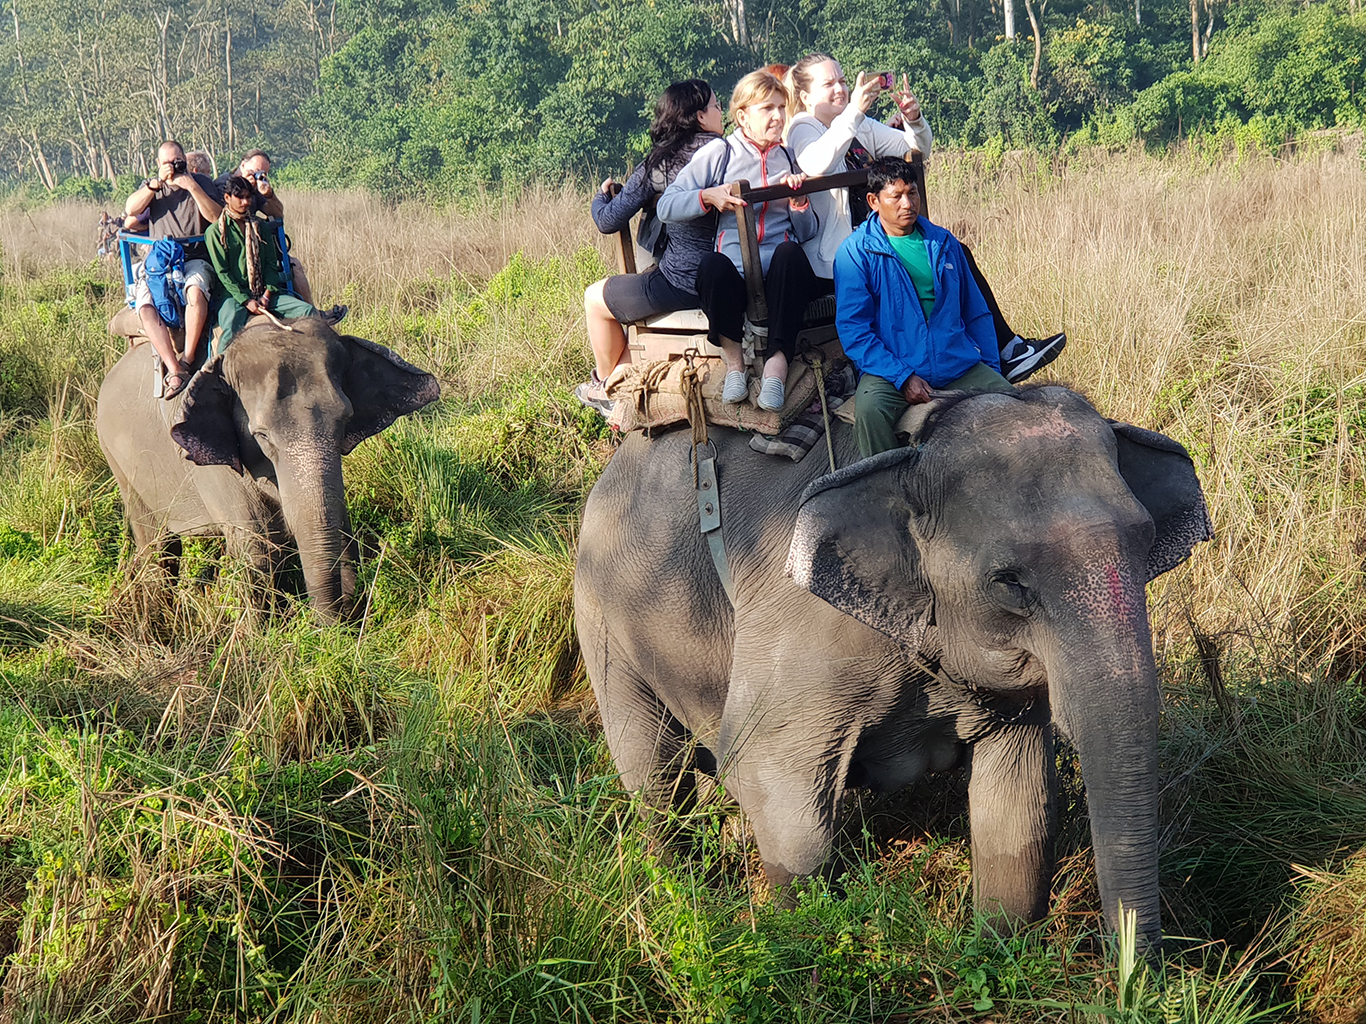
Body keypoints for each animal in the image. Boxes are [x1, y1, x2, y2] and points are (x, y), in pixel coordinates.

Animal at [96, 316, 437, 622]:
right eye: (261, 436)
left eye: (345, 420)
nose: (335, 624)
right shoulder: (206, 463)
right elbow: (256, 547)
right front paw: (259, 635)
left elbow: (336, 522)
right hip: (117, 458)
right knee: (157, 544)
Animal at [570, 387, 1213, 955]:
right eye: (1010, 582)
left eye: (1147, 544)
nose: (1134, 983)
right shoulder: (802, 626)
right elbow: (774, 788)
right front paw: (797, 945)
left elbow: (1019, 808)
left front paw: (997, 950)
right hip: (603, 612)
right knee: (653, 774)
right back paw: (682, 895)